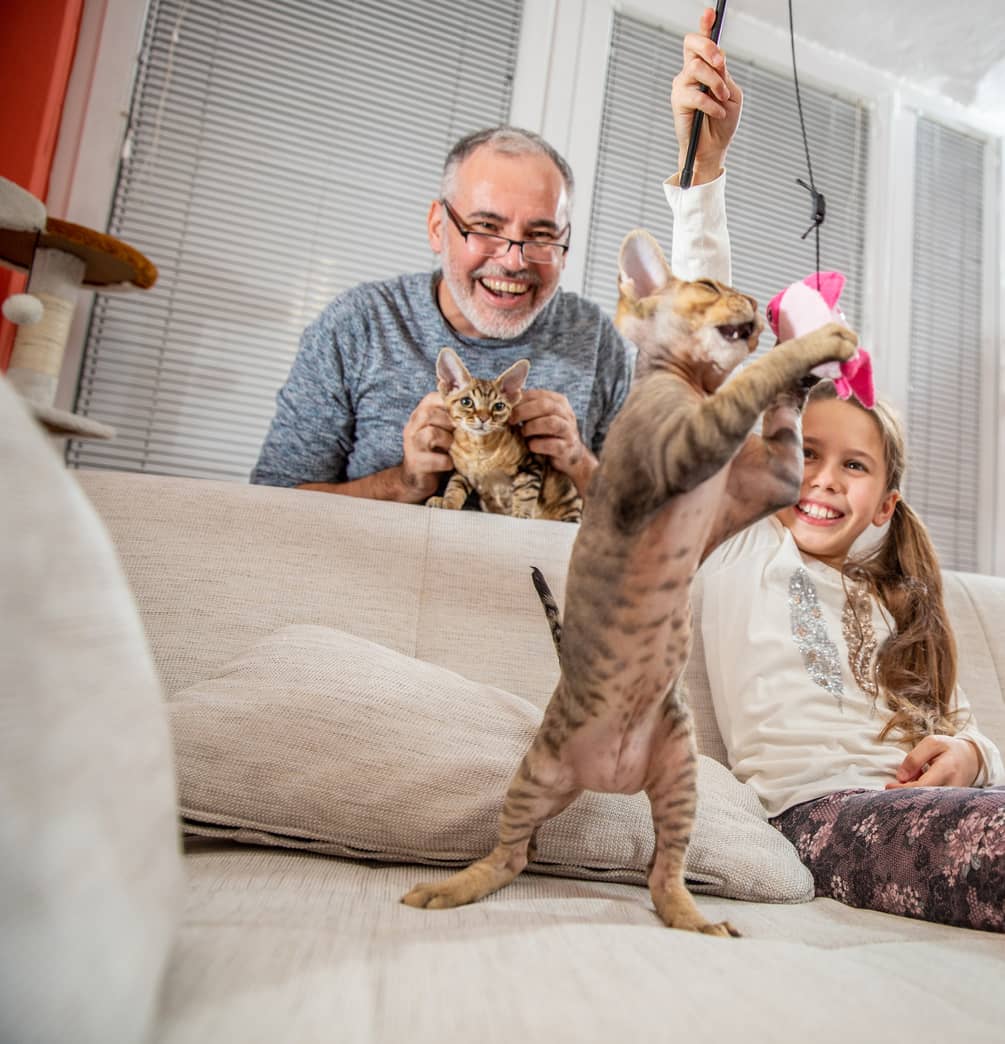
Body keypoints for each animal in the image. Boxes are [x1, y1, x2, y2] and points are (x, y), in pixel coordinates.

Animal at [429, 346, 584, 522]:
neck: (479, 448)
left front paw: (522, 513)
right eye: (466, 402)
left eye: (499, 406)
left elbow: (526, 491)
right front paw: (447, 502)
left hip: (569, 496)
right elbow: (455, 486)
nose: (483, 418)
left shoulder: (531, 462)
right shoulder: (463, 471)